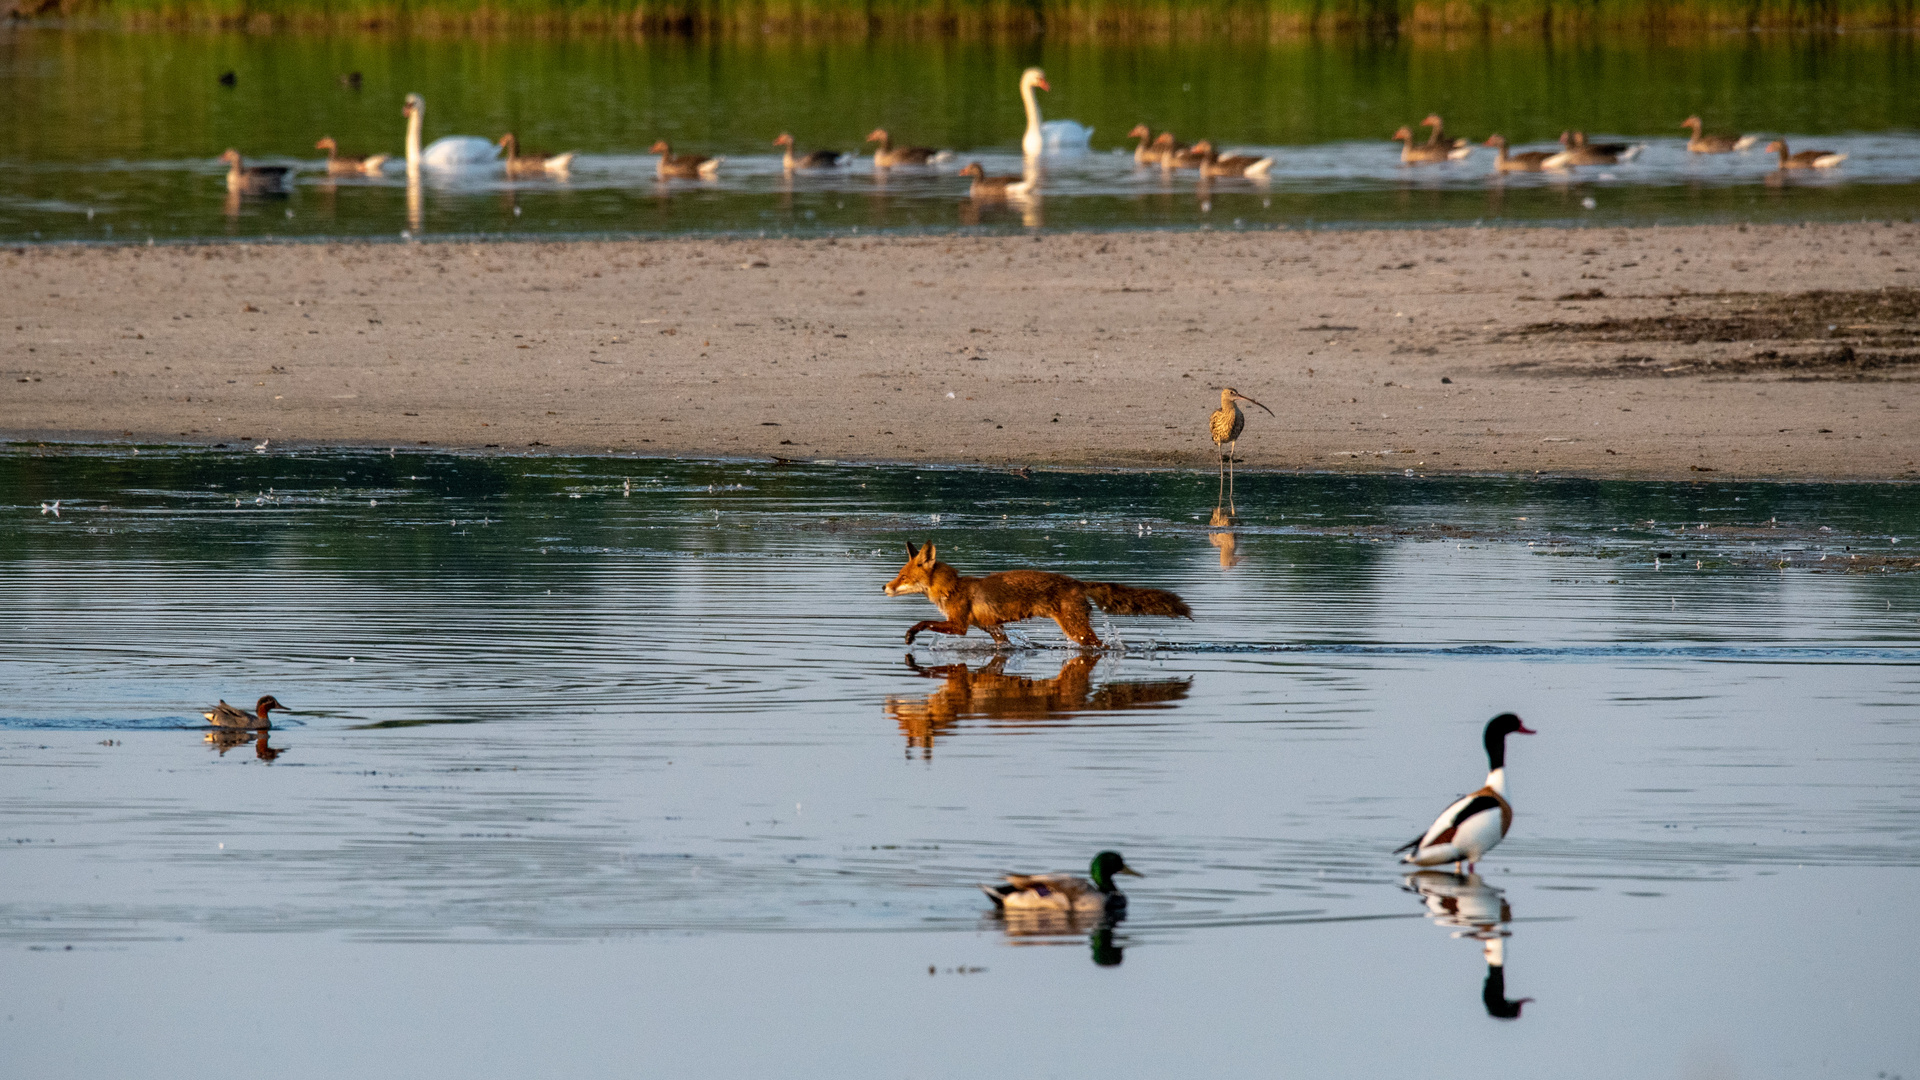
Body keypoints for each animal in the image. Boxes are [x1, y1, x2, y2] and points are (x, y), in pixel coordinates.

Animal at [879, 541, 1182, 641]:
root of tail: (1077, 582)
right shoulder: (993, 628)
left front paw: (910, 634)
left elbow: (923, 622)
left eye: (902, 577)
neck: (953, 587)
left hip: (1075, 630)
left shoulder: (959, 625)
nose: (884, 586)